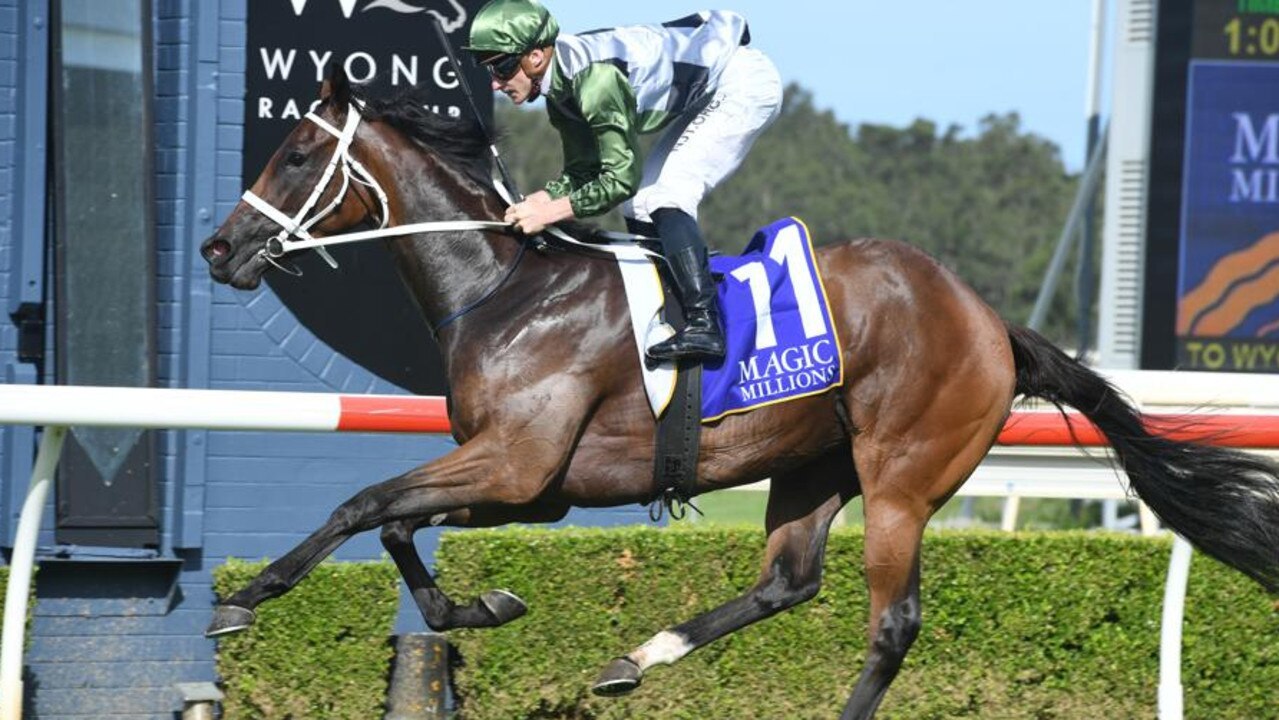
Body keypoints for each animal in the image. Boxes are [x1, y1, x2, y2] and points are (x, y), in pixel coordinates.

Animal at [196, 64, 1279, 716]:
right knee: (786, 581)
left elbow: (361, 504)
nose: (217, 248)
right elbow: (392, 525)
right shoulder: (527, 488)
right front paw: (484, 607)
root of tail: (988, 322)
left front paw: (244, 599)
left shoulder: (515, 466)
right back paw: (637, 657)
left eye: (297, 154)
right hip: (810, 466)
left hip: (901, 476)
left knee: (890, 624)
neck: (504, 289)